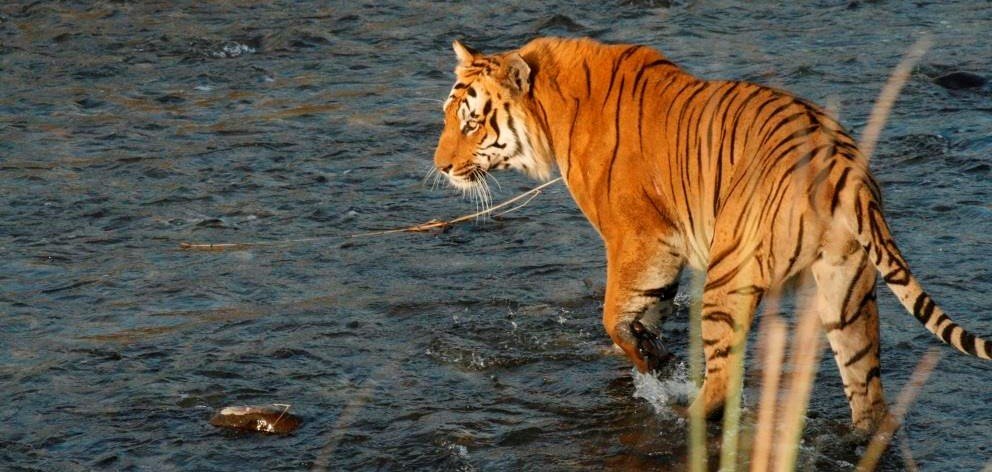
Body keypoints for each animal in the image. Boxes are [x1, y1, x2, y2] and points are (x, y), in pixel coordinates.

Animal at [430, 36, 991, 431]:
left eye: (472, 124)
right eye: (447, 117)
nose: (441, 167)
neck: (551, 110)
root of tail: (843, 168)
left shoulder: (639, 238)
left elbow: (615, 313)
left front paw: (654, 363)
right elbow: (643, 315)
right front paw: (649, 356)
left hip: (728, 274)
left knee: (723, 382)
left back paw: (685, 418)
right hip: (846, 289)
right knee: (868, 394)